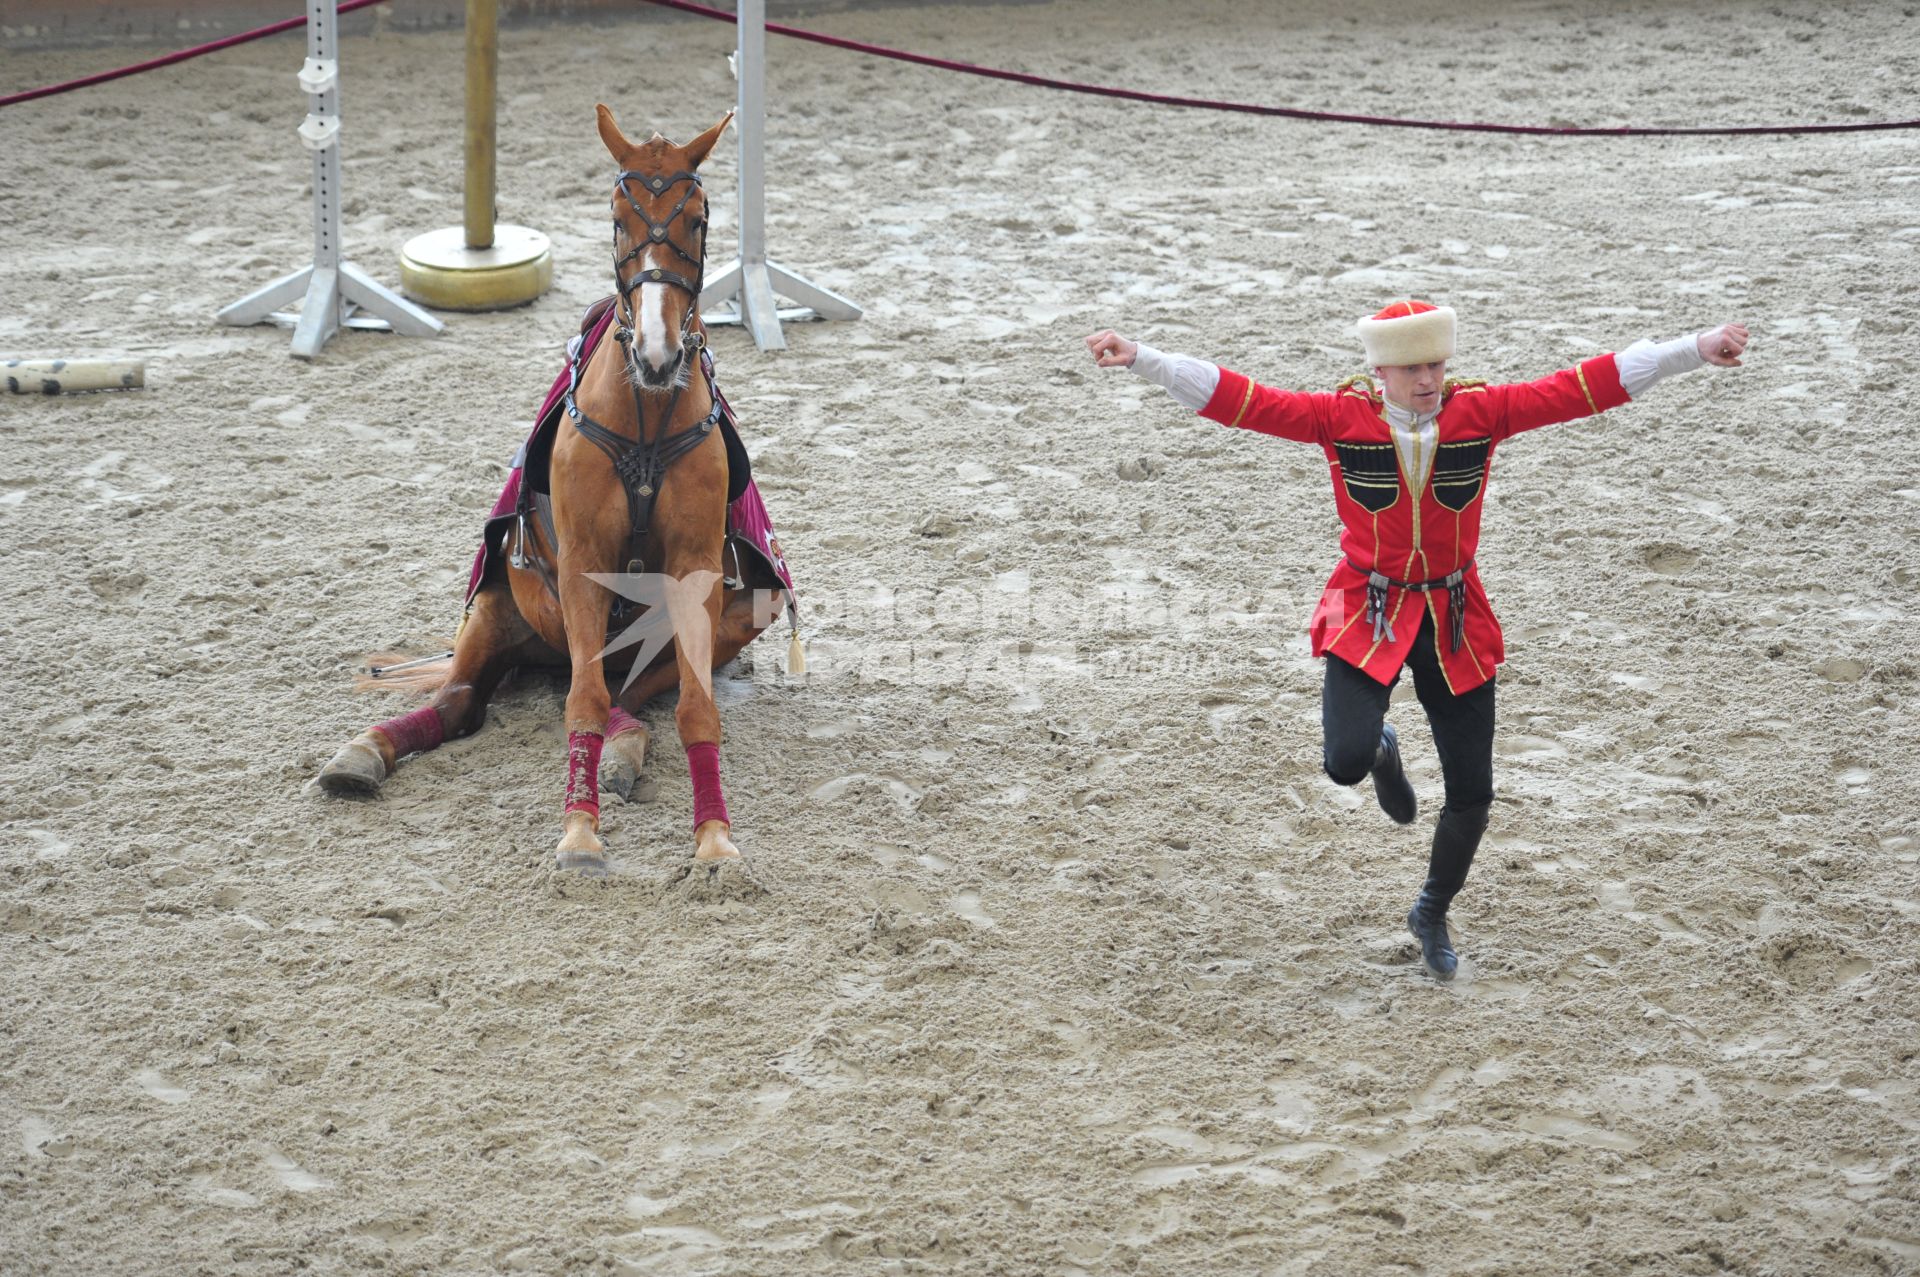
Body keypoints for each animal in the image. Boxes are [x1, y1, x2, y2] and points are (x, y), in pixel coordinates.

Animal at [318, 109, 798, 875]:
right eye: (616, 219)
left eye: (697, 218)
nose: (658, 353)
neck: (644, 415)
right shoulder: (579, 568)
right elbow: (582, 704)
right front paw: (579, 832)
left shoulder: (695, 571)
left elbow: (693, 710)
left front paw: (715, 840)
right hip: (496, 610)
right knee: (463, 700)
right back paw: (364, 752)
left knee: (623, 696)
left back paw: (622, 756)